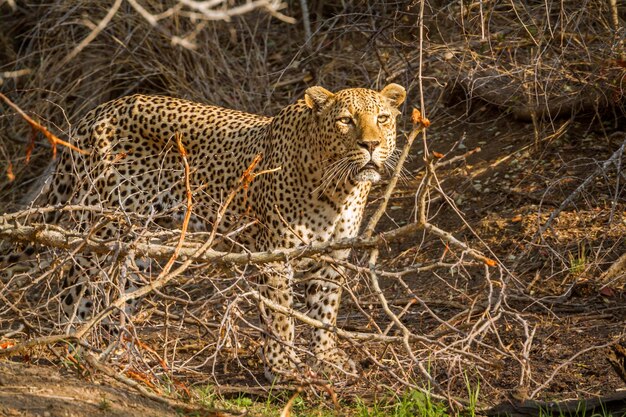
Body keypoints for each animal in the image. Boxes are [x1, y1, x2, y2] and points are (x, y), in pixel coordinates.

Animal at [3, 83, 404, 380]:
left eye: (383, 118)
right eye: (346, 121)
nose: (371, 145)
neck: (341, 189)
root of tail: (94, 114)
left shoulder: (331, 258)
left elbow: (325, 312)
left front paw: (327, 359)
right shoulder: (276, 255)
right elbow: (280, 316)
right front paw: (281, 368)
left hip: (141, 240)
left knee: (121, 296)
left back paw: (125, 356)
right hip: (100, 224)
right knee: (74, 282)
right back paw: (76, 342)